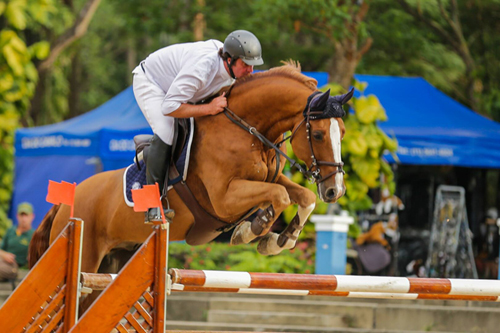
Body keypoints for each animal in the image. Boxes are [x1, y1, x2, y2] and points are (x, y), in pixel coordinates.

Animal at [29, 63, 350, 276]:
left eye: (343, 133)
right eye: (318, 135)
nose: (335, 190)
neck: (247, 129)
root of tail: (63, 205)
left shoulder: (271, 177)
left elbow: (302, 197)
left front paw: (281, 239)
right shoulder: (224, 198)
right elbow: (279, 196)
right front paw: (251, 231)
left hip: (116, 257)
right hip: (86, 257)